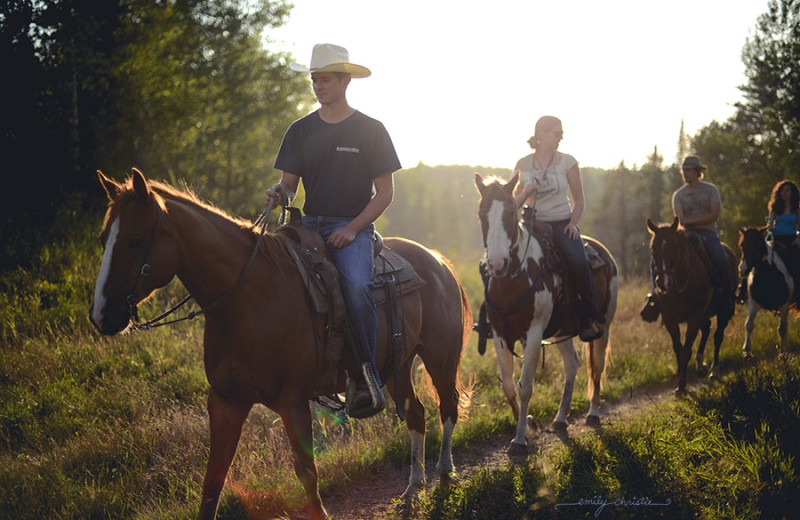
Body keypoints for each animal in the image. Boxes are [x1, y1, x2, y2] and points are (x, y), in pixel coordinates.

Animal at [90, 169, 472, 520]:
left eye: (135, 240)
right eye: (104, 237)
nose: (100, 315)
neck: (250, 297)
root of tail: (438, 261)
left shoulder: (293, 402)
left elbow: (307, 475)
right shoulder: (226, 401)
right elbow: (213, 481)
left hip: (439, 358)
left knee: (447, 406)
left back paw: (445, 475)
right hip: (395, 366)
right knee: (416, 413)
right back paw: (413, 487)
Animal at [476, 173, 620, 452]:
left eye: (511, 212)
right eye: (481, 213)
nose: (497, 264)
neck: (513, 280)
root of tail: (603, 251)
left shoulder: (532, 335)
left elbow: (525, 387)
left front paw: (520, 440)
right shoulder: (500, 335)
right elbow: (508, 385)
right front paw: (529, 424)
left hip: (605, 324)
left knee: (596, 365)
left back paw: (593, 413)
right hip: (562, 330)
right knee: (572, 364)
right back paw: (561, 419)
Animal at [644, 216, 736, 394]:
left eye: (674, 247)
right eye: (653, 248)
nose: (663, 282)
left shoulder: (694, 316)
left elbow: (686, 350)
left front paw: (681, 386)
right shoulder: (670, 319)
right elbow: (678, 349)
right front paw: (680, 379)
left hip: (722, 311)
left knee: (718, 336)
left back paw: (714, 370)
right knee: (706, 328)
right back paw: (700, 364)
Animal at [736, 228, 800, 358]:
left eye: (757, 245)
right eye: (742, 245)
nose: (742, 270)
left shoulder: (784, 305)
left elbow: (782, 329)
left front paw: (783, 353)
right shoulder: (753, 303)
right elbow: (748, 325)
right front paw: (747, 352)